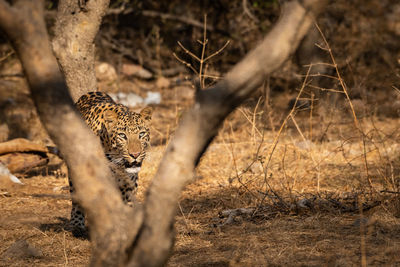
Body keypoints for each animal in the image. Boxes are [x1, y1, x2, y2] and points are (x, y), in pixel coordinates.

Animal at [69, 92, 152, 237]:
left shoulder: (128, 183)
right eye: (122, 136)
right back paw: (77, 224)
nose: (135, 154)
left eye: (141, 134)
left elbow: (125, 204)